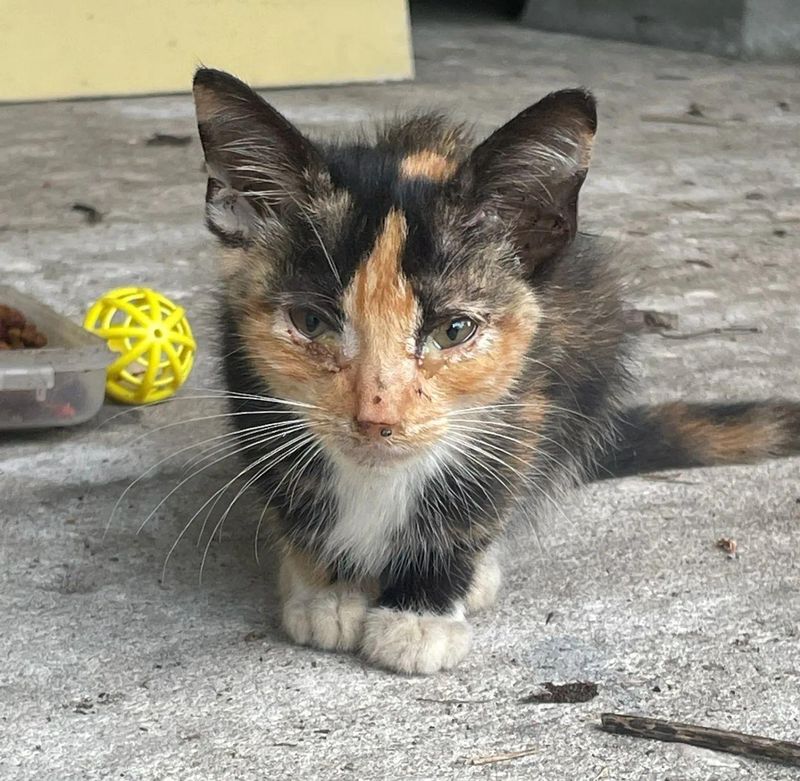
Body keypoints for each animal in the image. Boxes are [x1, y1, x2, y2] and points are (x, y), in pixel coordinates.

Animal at [194, 70, 800, 672]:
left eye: (454, 330)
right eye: (311, 321)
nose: (375, 420)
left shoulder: (527, 401)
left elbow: (483, 495)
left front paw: (422, 613)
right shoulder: (252, 391)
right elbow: (293, 487)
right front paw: (330, 590)